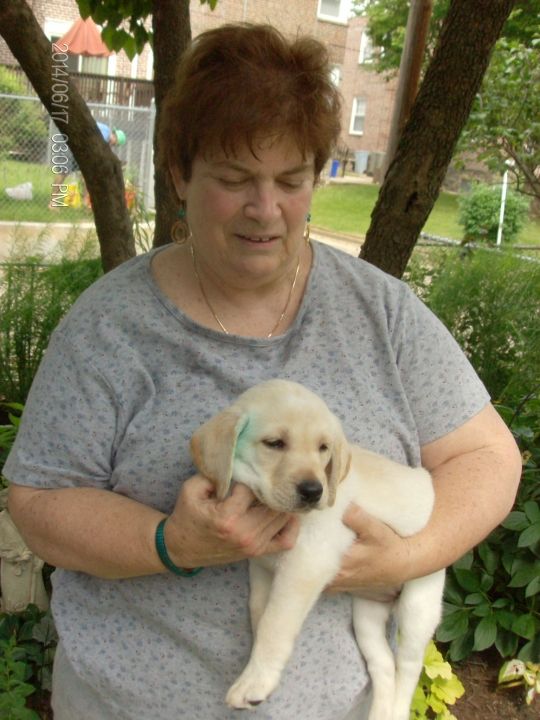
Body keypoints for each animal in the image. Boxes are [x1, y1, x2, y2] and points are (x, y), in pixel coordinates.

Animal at [192, 380, 446, 716]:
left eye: (324, 448)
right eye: (274, 443)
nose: (314, 491)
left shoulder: (305, 565)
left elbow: (275, 624)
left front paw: (255, 682)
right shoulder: (262, 568)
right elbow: (260, 612)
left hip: (418, 604)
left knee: (409, 666)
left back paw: (398, 710)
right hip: (366, 613)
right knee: (383, 665)